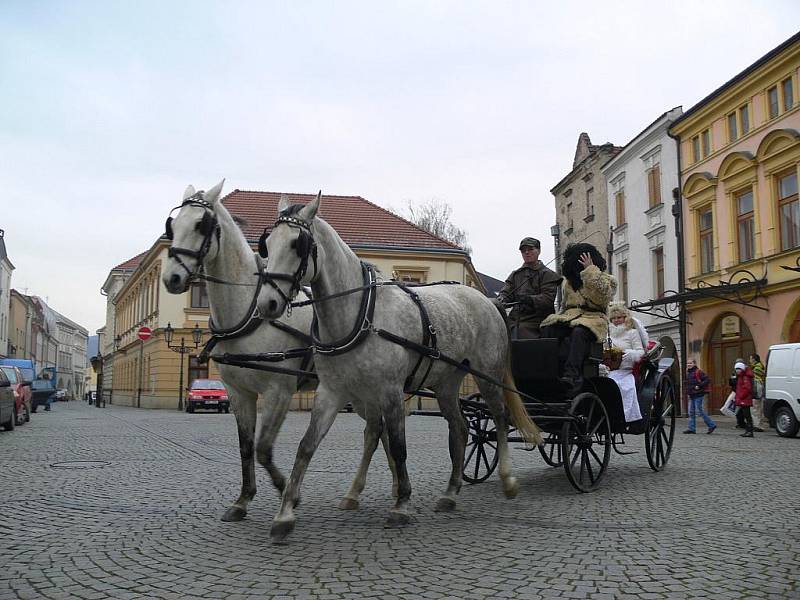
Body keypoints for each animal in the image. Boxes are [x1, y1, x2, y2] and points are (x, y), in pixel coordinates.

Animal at [163, 182, 400, 520]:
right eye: (173, 226)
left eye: (201, 225)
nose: (172, 277)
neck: (249, 313)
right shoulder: (239, 392)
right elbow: (246, 447)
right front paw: (243, 499)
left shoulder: (279, 391)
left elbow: (263, 448)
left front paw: (288, 492)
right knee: (377, 430)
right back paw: (366, 491)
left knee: (381, 430)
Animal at [258, 193, 544, 544]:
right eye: (267, 244)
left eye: (298, 244)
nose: (267, 304)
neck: (360, 315)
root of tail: (488, 300)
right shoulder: (333, 392)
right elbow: (306, 446)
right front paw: (285, 513)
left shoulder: (391, 392)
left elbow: (397, 446)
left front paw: (401, 504)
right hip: (447, 384)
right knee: (461, 429)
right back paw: (450, 493)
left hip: (487, 376)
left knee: (500, 419)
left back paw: (507, 480)